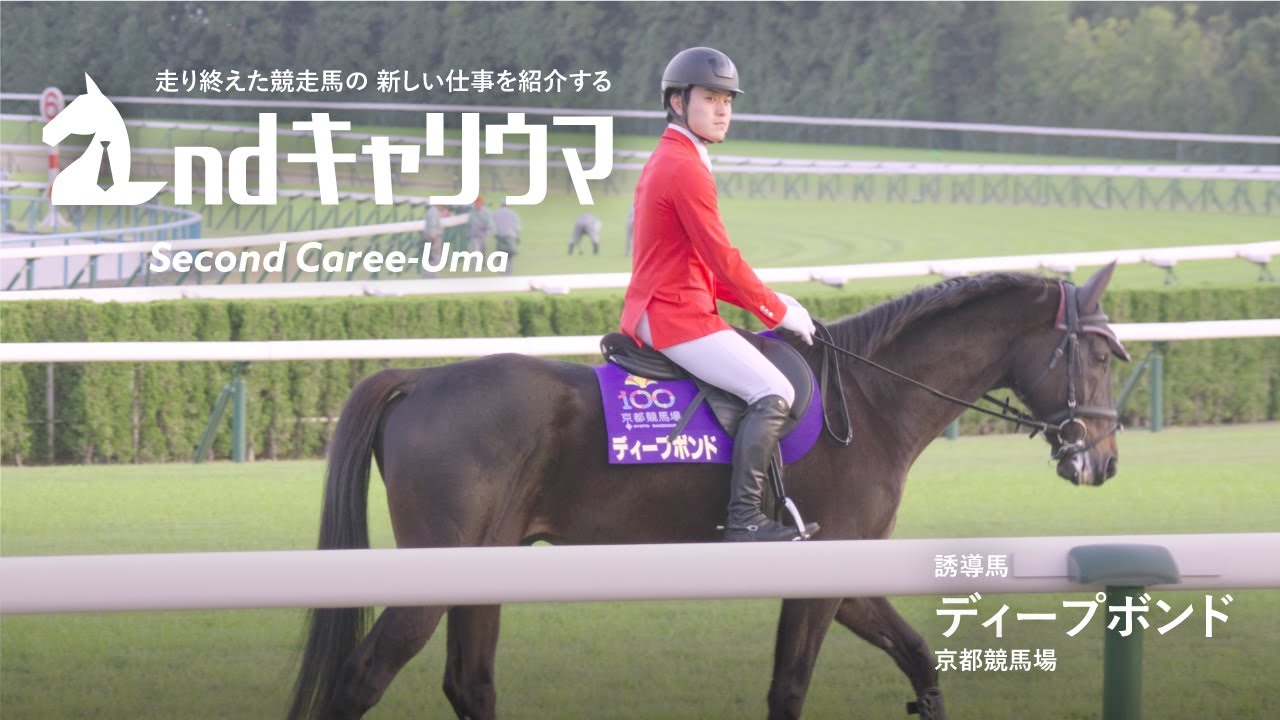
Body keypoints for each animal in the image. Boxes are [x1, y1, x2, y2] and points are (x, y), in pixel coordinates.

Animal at [288, 264, 1129, 720]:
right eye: (1096, 355)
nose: (1104, 460)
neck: (870, 398)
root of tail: (421, 379)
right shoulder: (822, 575)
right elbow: (789, 689)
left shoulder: (845, 570)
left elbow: (920, 660)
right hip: (432, 576)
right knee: (363, 677)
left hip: (483, 567)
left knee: (470, 684)